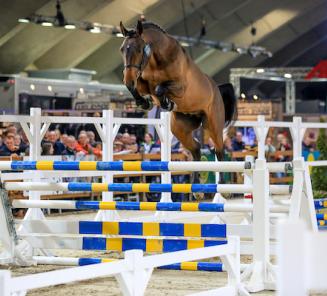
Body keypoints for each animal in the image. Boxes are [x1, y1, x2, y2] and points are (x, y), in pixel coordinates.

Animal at [119, 19, 237, 163]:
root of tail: (217, 89)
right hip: (180, 128)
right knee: (196, 148)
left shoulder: (180, 87)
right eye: (122, 49)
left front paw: (167, 103)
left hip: (213, 126)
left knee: (219, 151)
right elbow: (138, 89)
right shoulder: (144, 84)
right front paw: (145, 103)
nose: (128, 79)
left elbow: (159, 89)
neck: (157, 61)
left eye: (140, 50)